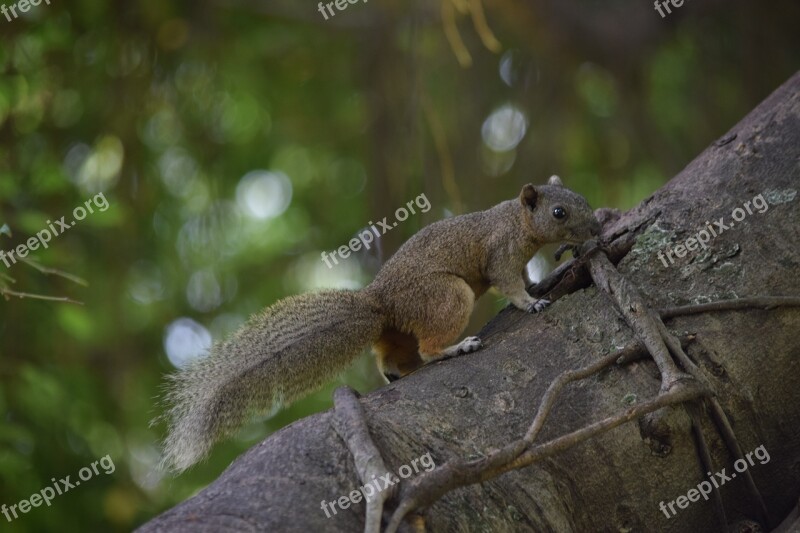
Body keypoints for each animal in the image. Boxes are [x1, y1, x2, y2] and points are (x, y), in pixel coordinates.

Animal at [159, 177, 600, 472]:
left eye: (582, 198)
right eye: (559, 212)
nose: (595, 227)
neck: (516, 220)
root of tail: (381, 303)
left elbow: (522, 276)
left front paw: (537, 282)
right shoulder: (500, 254)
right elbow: (510, 283)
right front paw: (531, 301)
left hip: (400, 329)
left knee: (393, 356)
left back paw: (399, 370)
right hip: (446, 297)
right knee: (428, 348)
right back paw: (456, 348)